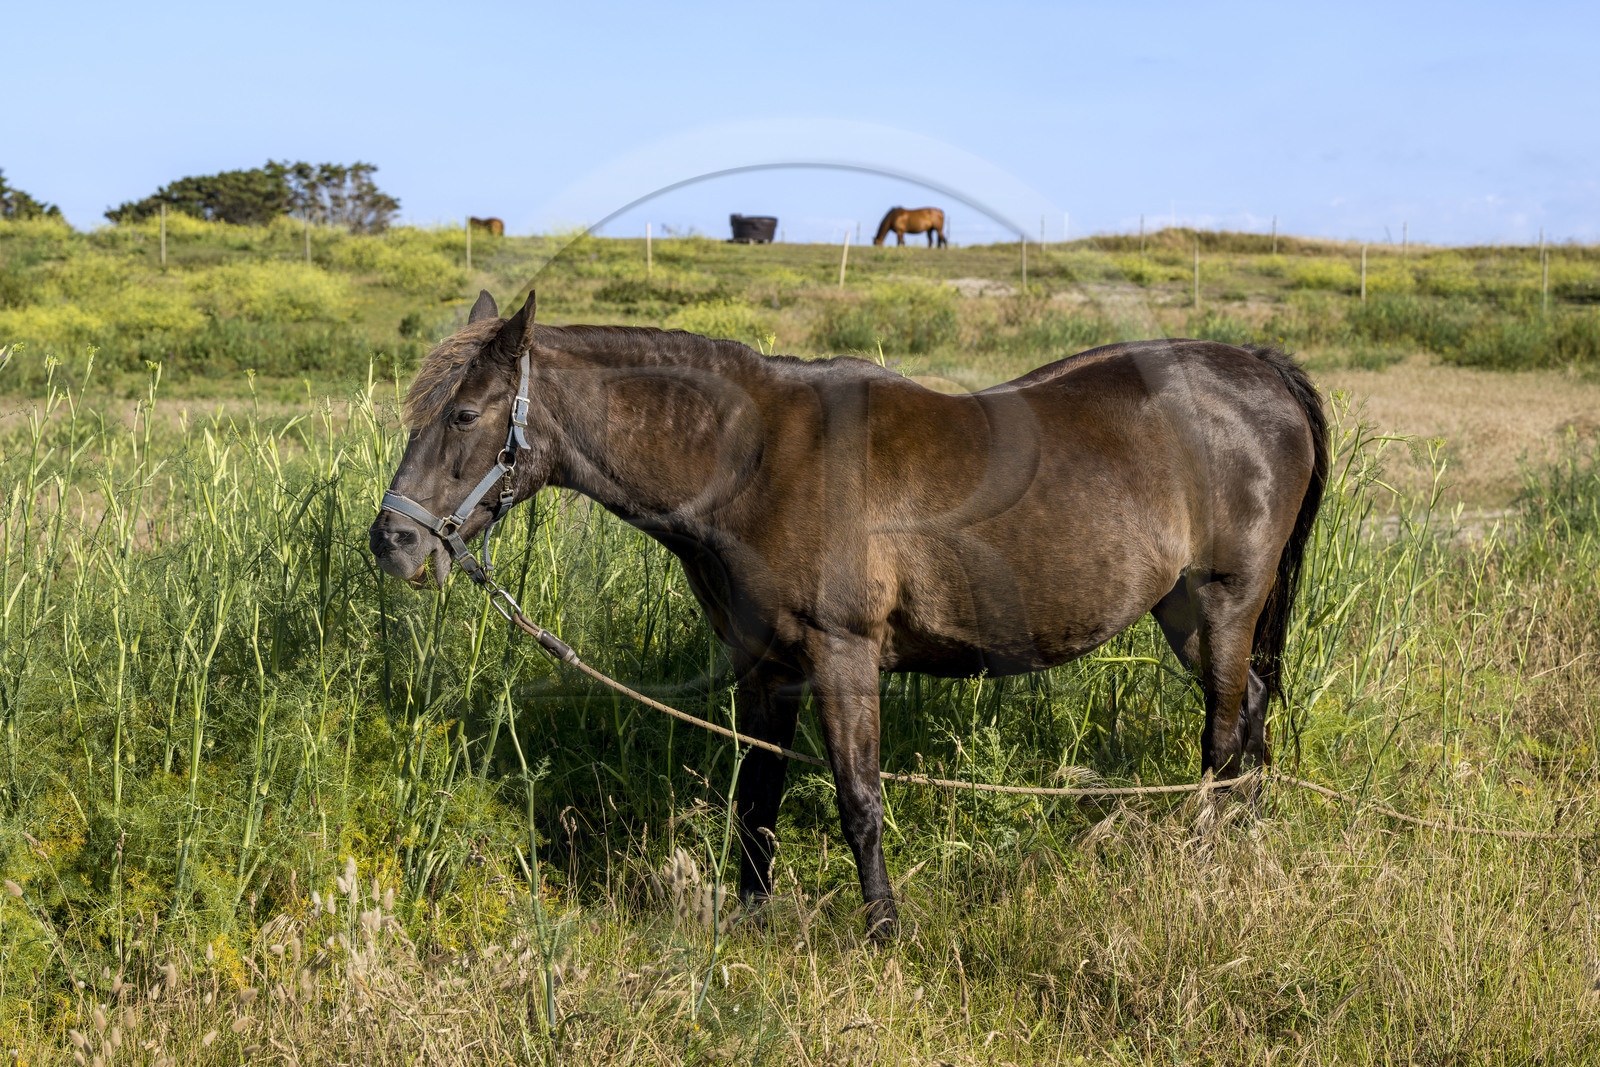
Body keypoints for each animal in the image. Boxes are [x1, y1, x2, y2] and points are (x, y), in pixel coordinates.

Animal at [369, 289, 1329, 939]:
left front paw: (884, 931)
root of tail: (1260, 370)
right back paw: (1246, 845)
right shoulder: (764, 664)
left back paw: (1205, 862)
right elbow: (756, 795)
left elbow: (858, 795)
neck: (754, 458)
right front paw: (750, 921)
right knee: (1249, 721)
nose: (392, 541)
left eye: (463, 413)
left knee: (1223, 738)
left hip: (1227, 599)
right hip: (1182, 610)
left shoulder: (844, 655)